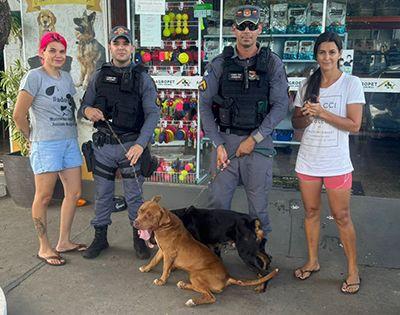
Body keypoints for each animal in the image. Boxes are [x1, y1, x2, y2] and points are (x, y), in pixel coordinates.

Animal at [134, 196, 278, 308]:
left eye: (149, 216)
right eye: (140, 211)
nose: (135, 223)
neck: (167, 224)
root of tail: (228, 277)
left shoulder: (168, 253)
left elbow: (165, 268)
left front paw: (162, 280)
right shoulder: (162, 250)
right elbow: (153, 261)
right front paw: (146, 268)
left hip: (238, 256)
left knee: (211, 296)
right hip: (252, 249)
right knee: (266, 258)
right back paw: (183, 284)